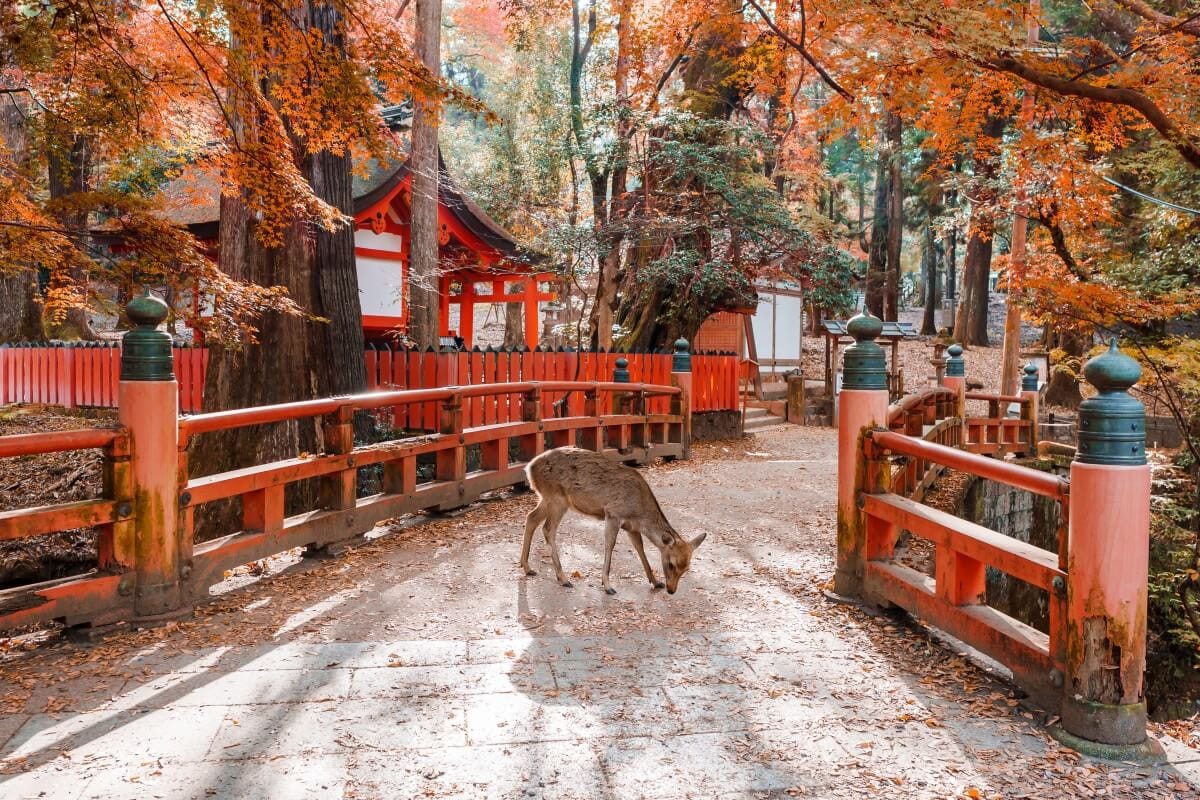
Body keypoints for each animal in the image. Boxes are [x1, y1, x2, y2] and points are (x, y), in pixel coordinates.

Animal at [519, 447, 706, 595]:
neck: (639, 511)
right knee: (547, 529)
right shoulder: (613, 514)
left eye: (686, 568)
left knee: (531, 518)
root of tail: (529, 468)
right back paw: (563, 578)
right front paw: (607, 585)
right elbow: (610, 544)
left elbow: (639, 547)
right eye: (671, 564)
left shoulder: (631, 527)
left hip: (547, 498)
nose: (671, 590)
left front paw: (655, 581)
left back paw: (527, 567)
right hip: (557, 498)